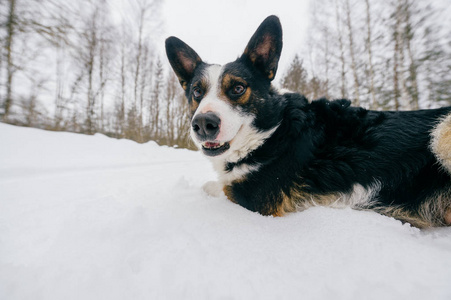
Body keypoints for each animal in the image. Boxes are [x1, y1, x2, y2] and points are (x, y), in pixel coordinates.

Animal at [165, 15, 451, 226]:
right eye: (197, 92)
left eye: (237, 88)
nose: (203, 124)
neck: (271, 132)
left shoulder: (258, 199)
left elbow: (215, 186)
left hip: (441, 133)